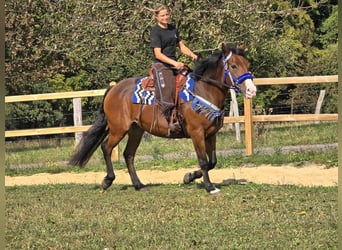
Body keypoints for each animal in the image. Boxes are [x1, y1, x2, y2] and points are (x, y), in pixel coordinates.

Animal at [70, 43, 256, 194]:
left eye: (247, 64)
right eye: (233, 66)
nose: (251, 90)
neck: (203, 91)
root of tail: (113, 89)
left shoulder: (211, 134)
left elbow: (213, 162)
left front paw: (188, 177)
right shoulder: (196, 133)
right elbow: (203, 161)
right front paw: (209, 187)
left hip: (136, 130)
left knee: (128, 155)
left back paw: (138, 185)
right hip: (118, 129)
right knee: (106, 148)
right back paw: (107, 181)